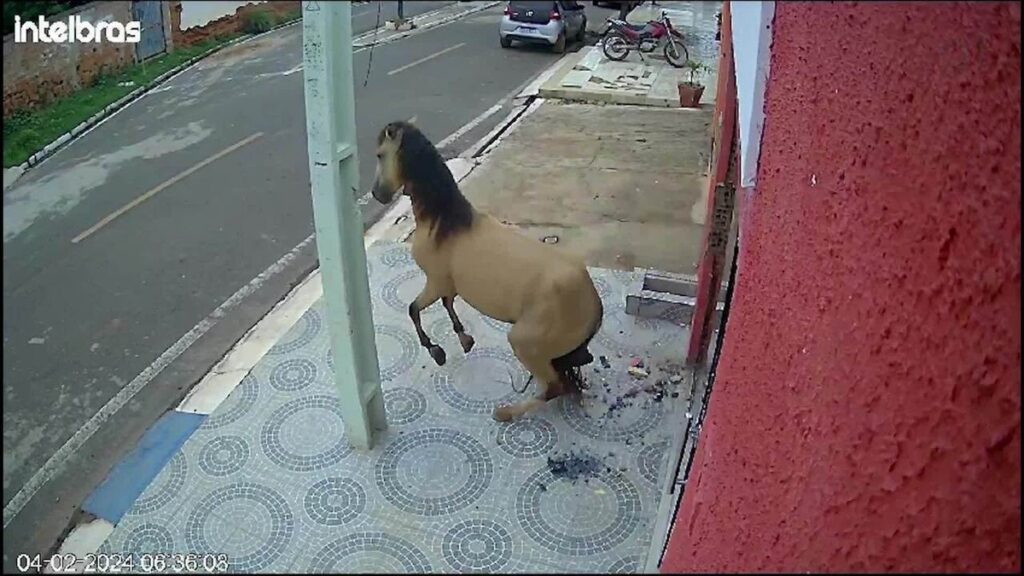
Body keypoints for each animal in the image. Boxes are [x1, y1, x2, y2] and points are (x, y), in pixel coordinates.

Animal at [370, 120, 604, 422]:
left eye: (380, 154)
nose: (377, 194)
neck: (445, 225)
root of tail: (594, 304)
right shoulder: (447, 285)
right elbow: (447, 304)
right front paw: (465, 340)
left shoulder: (434, 283)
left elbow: (413, 309)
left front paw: (437, 352)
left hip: (523, 343)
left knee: (554, 387)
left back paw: (505, 413)